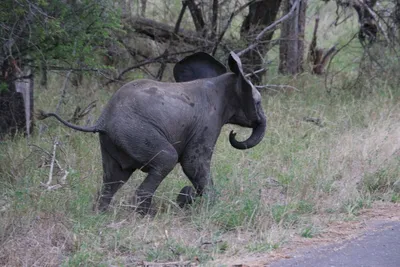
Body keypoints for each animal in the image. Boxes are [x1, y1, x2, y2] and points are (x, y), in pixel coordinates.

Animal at [39, 51, 268, 216]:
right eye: (258, 103)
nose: (233, 134)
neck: (223, 82)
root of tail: (102, 120)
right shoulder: (207, 123)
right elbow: (193, 163)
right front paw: (208, 205)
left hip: (114, 142)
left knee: (113, 179)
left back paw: (100, 215)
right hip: (135, 132)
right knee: (166, 159)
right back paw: (147, 216)